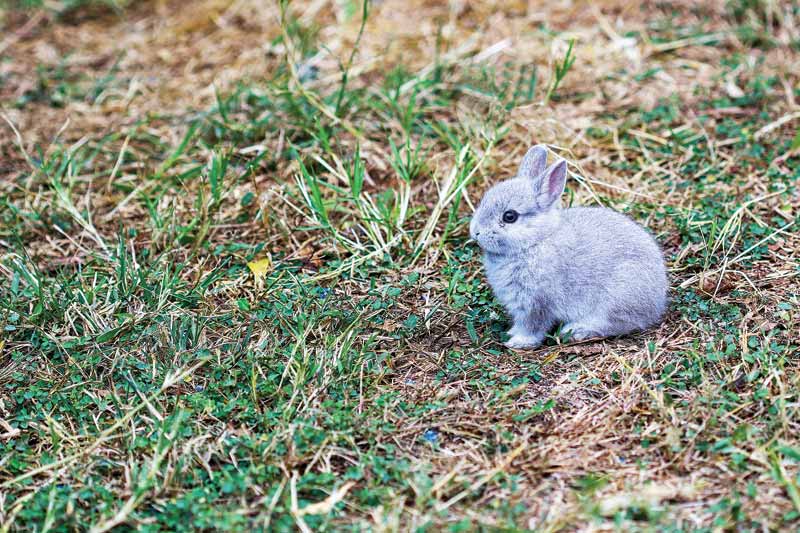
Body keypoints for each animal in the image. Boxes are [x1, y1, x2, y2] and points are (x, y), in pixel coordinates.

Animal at [469, 145, 668, 349]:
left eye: (510, 216)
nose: (475, 232)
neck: (536, 241)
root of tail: (658, 300)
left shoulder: (536, 303)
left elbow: (533, 326)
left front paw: (518, 342)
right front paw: (512, 333)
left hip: (617, 297)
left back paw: (576, 330)